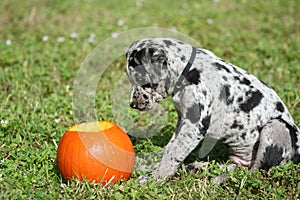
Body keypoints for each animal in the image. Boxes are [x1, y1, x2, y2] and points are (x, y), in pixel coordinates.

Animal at [125, 37, 300, 181]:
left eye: (139, 78)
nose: (132, 104)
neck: (188, 70)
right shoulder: (183, 120)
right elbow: (169, 147)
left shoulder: (194, 125)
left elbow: (173, 152)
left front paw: (155, 178)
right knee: (238, 167)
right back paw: (200, 168)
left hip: (275, 126)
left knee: (256, 172)